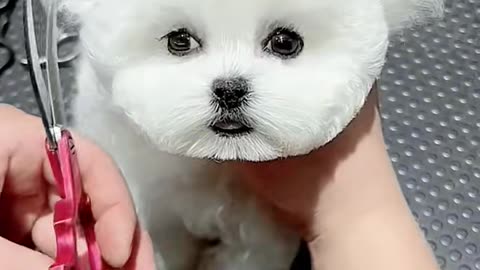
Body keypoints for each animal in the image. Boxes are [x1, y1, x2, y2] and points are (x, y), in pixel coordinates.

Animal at [54, 0, 440, 268]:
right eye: (179, 41)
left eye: (285, 42)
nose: (229, 90)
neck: (212, 164)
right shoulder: (153, 207)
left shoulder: (261, 232)